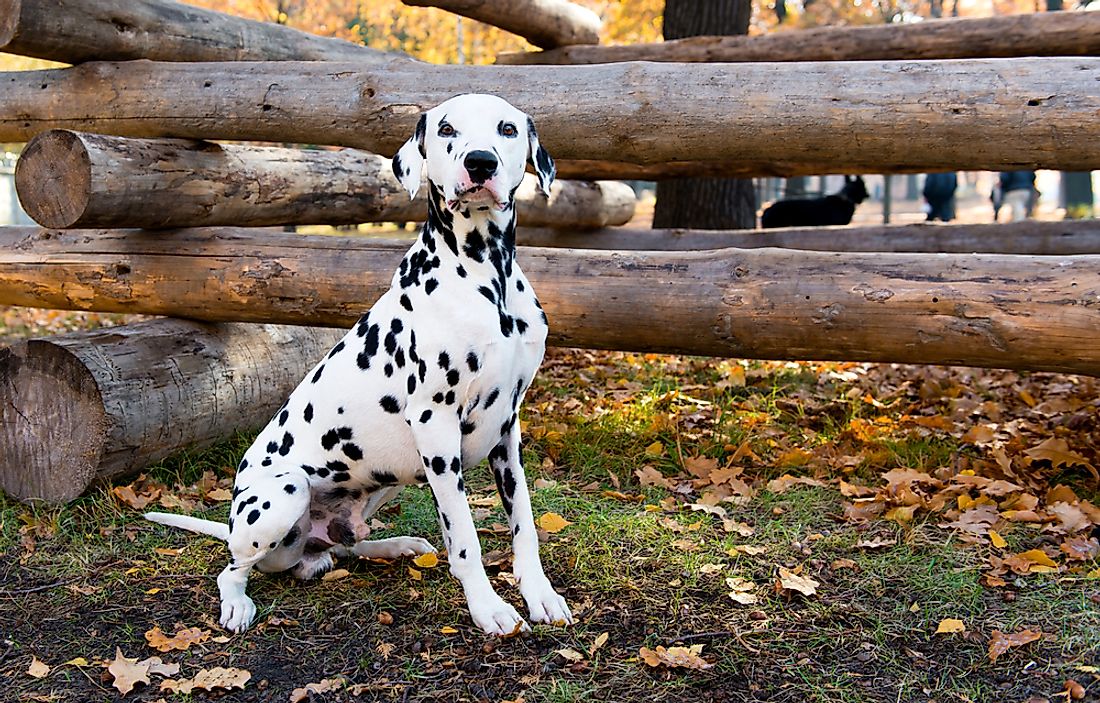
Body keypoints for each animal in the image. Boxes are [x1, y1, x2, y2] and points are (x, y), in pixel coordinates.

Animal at [146, 93, 572, 638]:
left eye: (507, 129)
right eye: (447, 128)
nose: (481, 163)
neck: (486, 277)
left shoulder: (507, 428)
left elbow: (524, 525)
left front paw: (541, 595)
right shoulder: (435, 425)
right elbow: (464, 539)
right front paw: (489, 608)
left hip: (385, 481)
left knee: (344, 543)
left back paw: (394, 546)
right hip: (283, 493)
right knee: (232, 568)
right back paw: (238, 603)